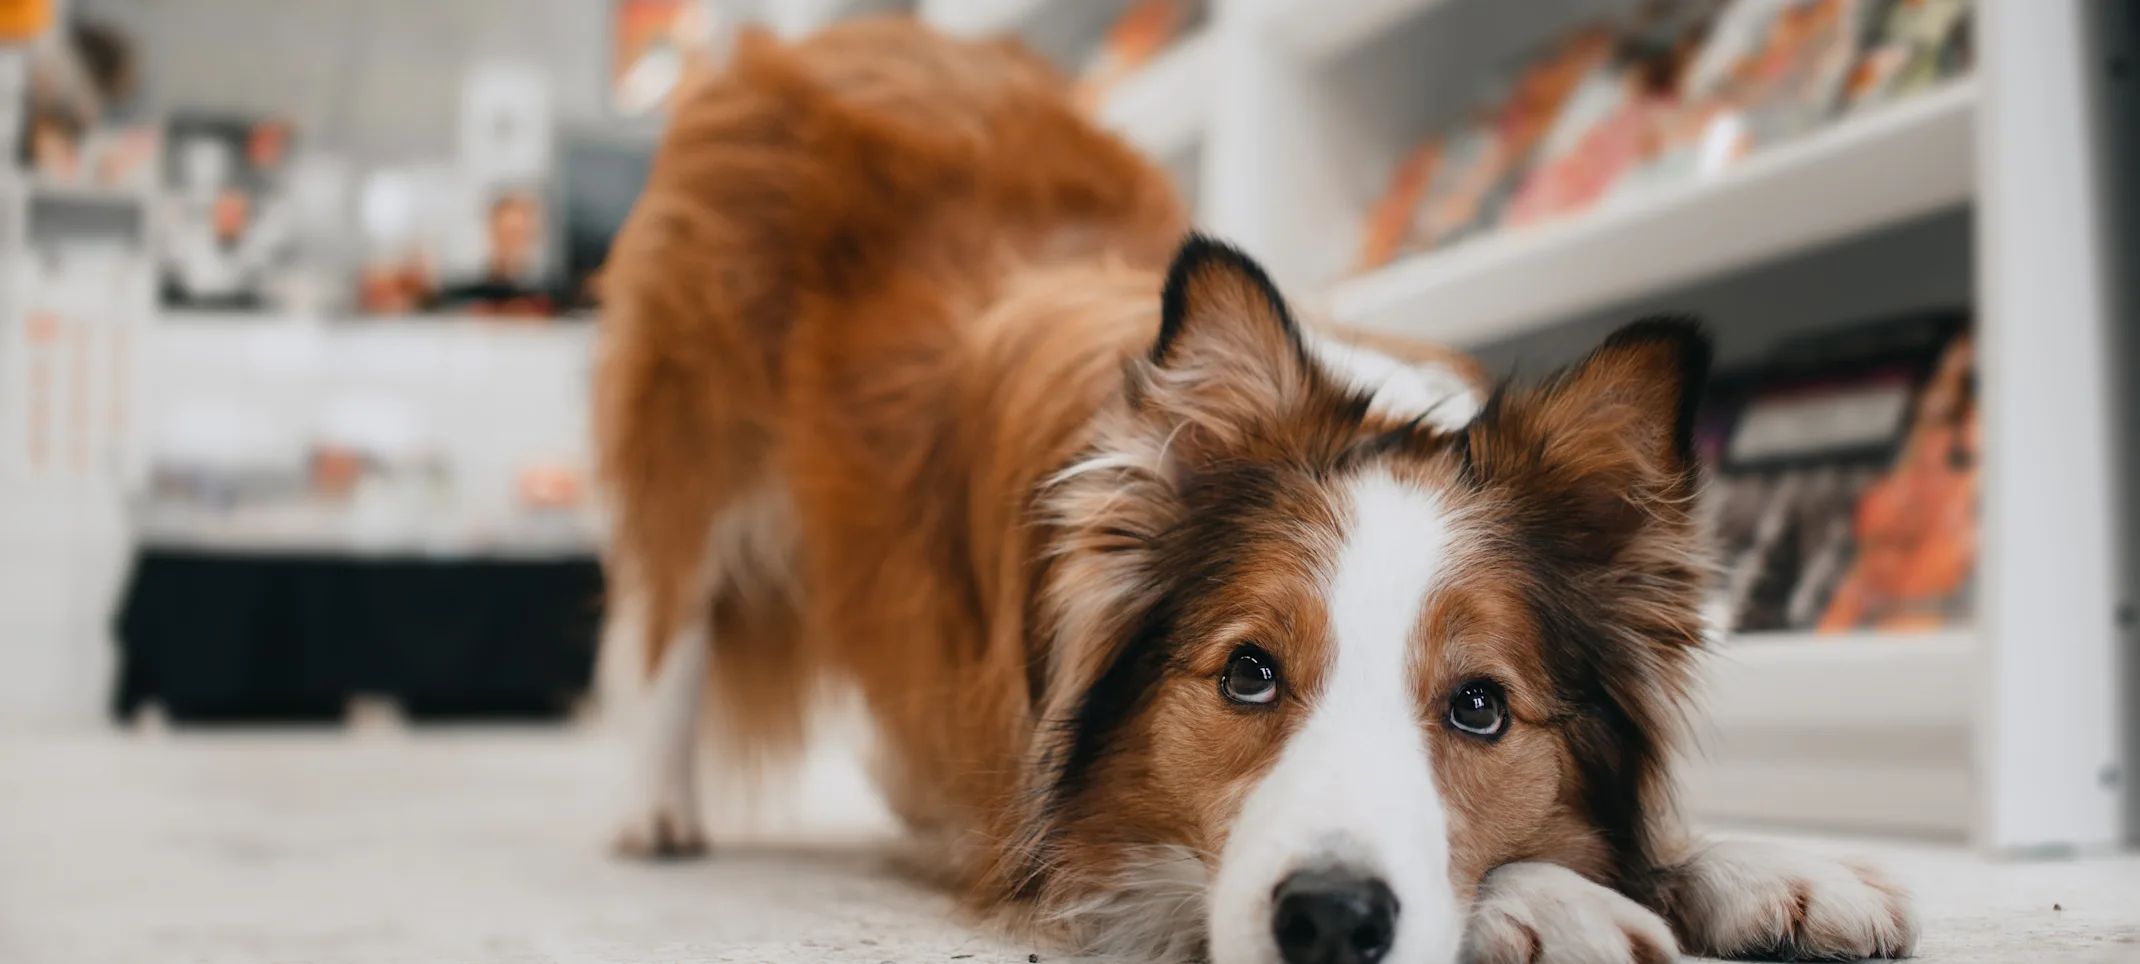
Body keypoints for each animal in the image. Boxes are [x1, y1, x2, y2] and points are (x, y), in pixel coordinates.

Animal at [590, 16, 1926, 964]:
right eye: (1246, 672)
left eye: (1480, 707)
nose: (1330, 922)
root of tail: (833, 36)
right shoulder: (1079, 855)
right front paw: (1555, 903)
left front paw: (1763, 868)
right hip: (698, 449)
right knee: (663, 626)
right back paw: (653, 811)